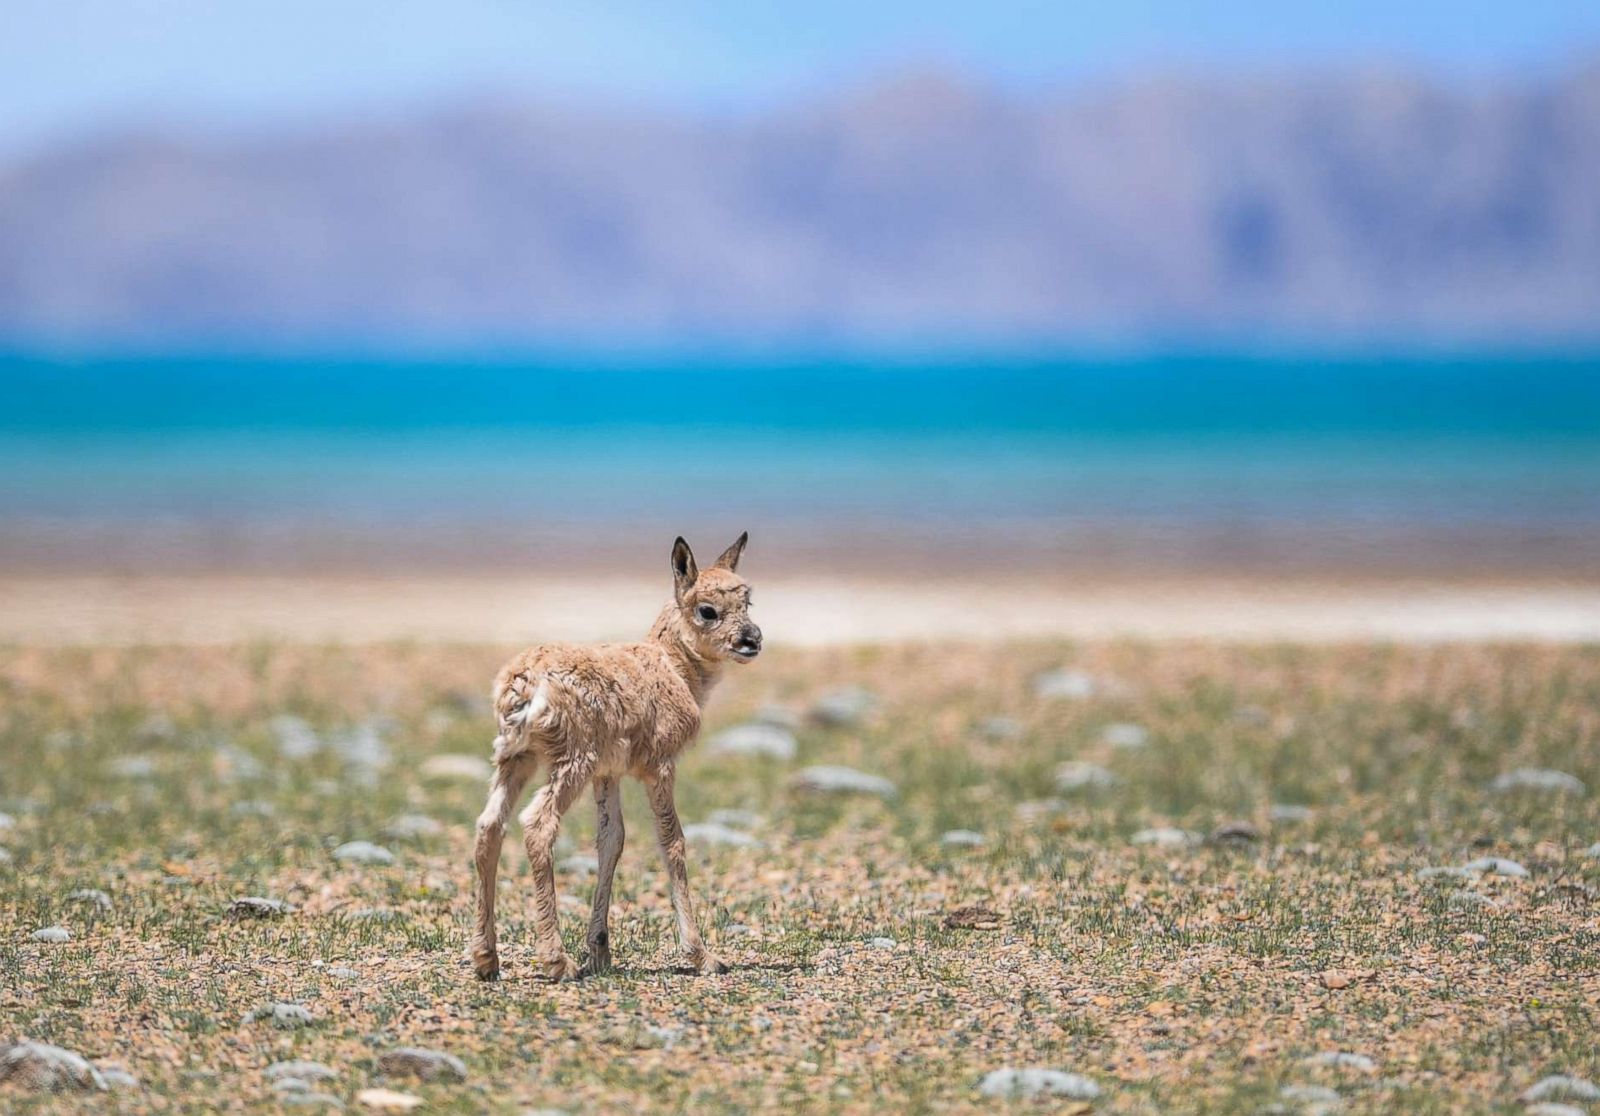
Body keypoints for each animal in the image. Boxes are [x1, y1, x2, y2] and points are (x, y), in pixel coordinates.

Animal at [467, 530, 761, 972]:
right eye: (707, 610)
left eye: (748, 601)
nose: (752, 640)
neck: (671, 666)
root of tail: (524, 681)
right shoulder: (660, 768)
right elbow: (671, 841)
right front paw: (702, 955)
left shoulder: (608, 775)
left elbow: (612, 840)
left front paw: (601, 950)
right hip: (570, 763)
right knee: (537, 824)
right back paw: (557, 961)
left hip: (515, 760)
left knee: (489, 825)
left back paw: (487, 959)